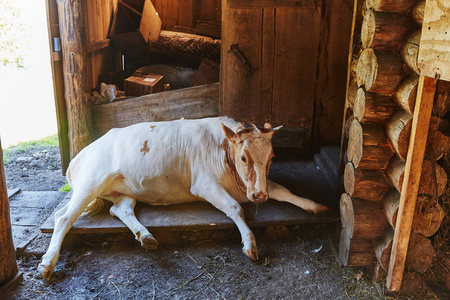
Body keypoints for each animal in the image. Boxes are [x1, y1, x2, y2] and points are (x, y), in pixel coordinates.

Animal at [37, 116, 330, 278]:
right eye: (244, 158)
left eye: (271, 158)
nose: (259, 195)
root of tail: (79, 156)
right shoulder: (204, 185)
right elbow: (235, 208)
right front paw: (250, 243)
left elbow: (283, 191)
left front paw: (315, 205)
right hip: (91, 182)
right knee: (63, 217)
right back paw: (48, 263)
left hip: (124, 190)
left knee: (119, 210)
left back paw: (146, 237)